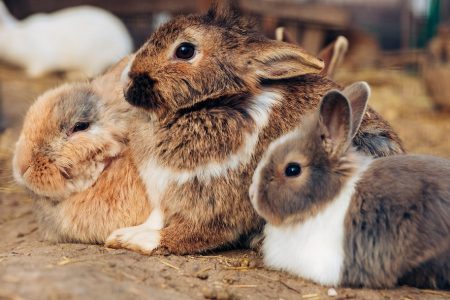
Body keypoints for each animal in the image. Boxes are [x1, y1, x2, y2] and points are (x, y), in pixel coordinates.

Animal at [106, 5, 404, 253]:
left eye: (185, 50)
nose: (126, 81)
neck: (209, 105)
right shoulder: (164, 190)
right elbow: (156, 217)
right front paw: (121, 234)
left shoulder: (216, 206)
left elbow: (188, 234)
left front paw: (136, 240)